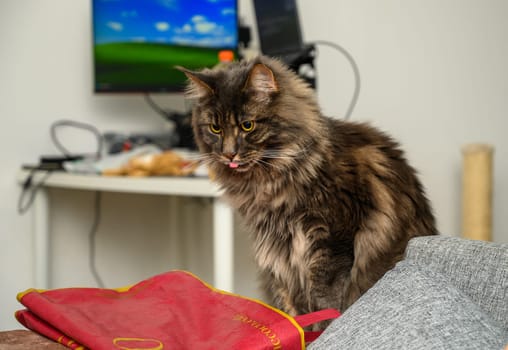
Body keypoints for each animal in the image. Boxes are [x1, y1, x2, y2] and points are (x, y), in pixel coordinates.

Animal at [177, 56, 434, 322]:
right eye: (215, 128)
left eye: (247, 126)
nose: (228, 154)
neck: (270, 181)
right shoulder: (278, 254)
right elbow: (290, 304)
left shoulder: (334, 240)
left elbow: (327, 298)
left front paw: (326, 325)